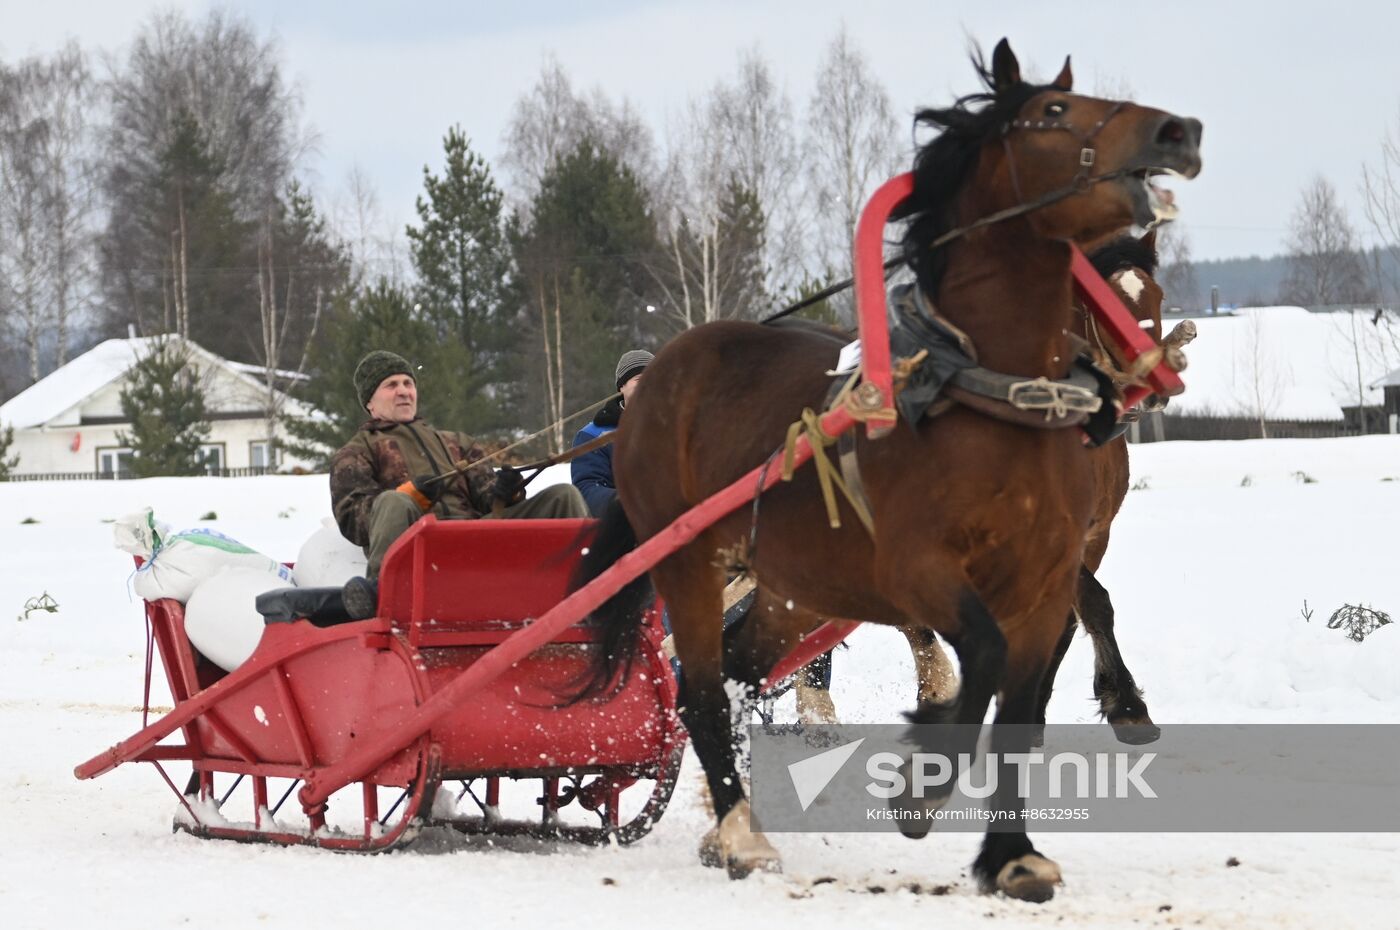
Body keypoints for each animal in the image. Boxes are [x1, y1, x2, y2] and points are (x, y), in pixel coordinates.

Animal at [572, 39, 1202, 902]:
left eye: (1153, 290)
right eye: (1052, 113)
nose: (1178, 132)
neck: (992, 400)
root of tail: (664, 373)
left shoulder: (1053, 571)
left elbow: (1030, 692)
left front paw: (1012, 852)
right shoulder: (918, 568)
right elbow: (984, 659)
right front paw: (925, 773)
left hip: (794, 586)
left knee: (739, 673)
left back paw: (726, 816)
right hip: (688, 559)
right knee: (700, 691)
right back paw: (740, 835)